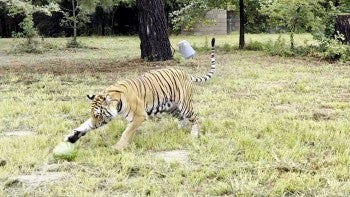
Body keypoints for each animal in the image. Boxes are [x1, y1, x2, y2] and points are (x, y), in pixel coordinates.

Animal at [64, 37, 215, 151]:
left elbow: (127, 132)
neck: (115, 99)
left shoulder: (138, 117)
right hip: (170, 107)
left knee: (195, 118)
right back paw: (177, 130)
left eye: (97, 115)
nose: (95, 125)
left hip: (185, 105)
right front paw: (72, 136)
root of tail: (184, 73)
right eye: (93, 115)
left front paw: (118, 147)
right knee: (181, 118)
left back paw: (193, 135)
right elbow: (84, 125)